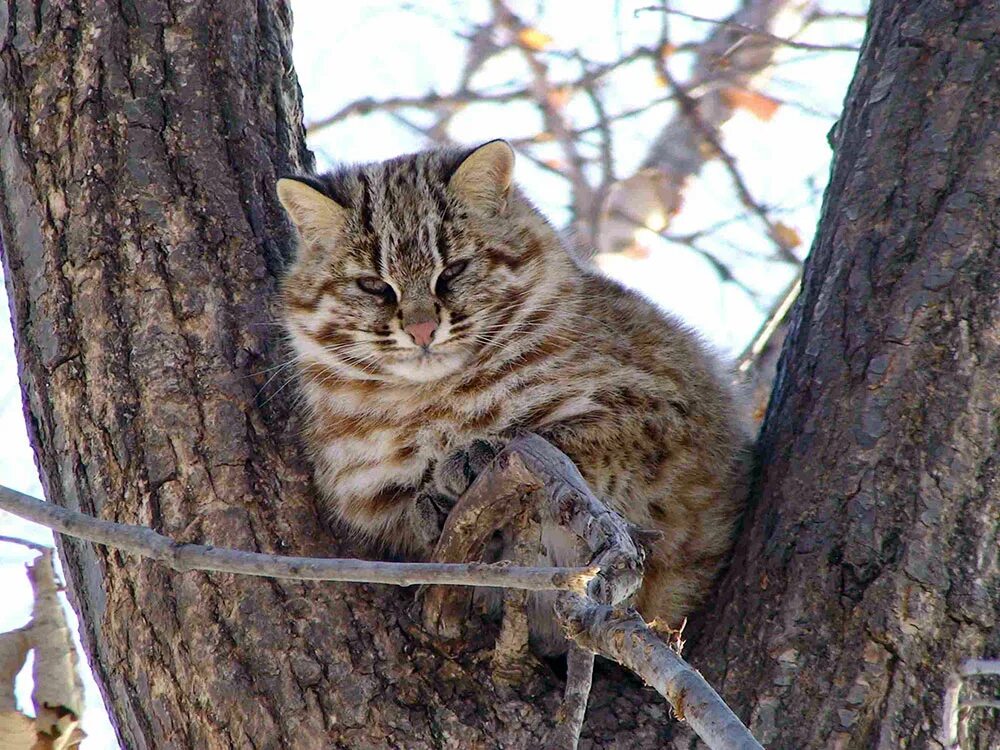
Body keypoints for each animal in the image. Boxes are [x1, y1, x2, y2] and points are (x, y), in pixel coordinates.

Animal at [278, 140, 748, 652]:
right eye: (373, 285)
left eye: (453, 270)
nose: (421, 329)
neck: (432, 397)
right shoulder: (367, 497)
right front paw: (431, 503)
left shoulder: (666, 415)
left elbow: (566, 438)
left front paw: (476, 454)